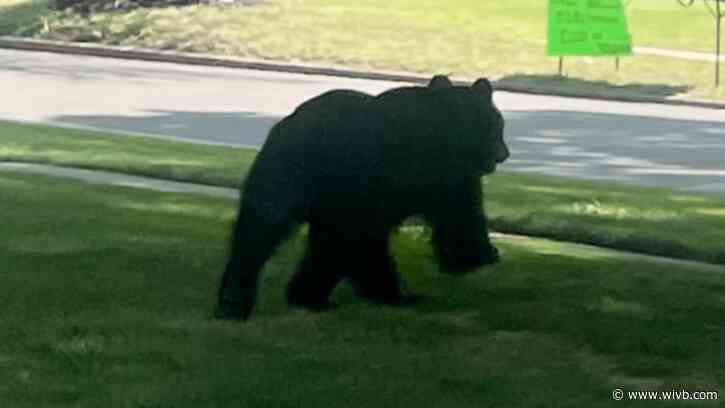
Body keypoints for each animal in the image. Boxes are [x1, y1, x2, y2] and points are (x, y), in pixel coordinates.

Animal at [215, 75, 509, 321]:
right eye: (495, 126)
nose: (503, 154)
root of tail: (289, 125)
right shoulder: (418, 176)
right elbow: (456, 218)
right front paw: (481, 255)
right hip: (299, 179)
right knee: (271, 232)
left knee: (271, 232)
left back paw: (297, 297)